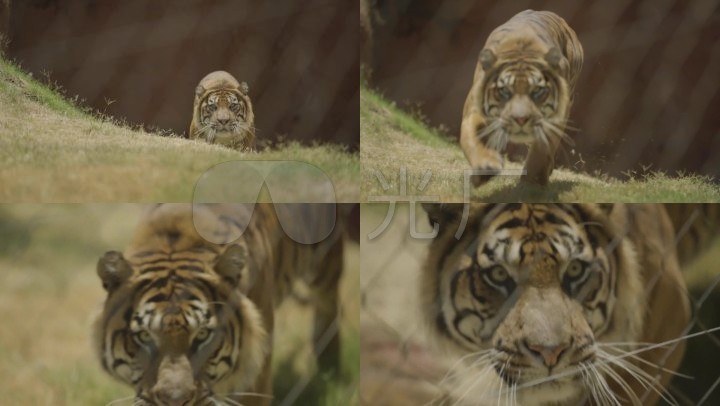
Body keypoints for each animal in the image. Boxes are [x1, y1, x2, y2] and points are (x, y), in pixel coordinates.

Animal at [92, 205, 344, 406]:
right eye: (144, 336)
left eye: (203, 334)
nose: (175, 401)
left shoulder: (255, 375)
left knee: (329, 305)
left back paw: (329, 368)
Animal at [462, 9, 584, 186]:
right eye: (504, 91)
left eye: (537, 91)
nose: (520, 119)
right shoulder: (475, 110)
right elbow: (473, 137)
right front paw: (485, 167)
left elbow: (541, 149)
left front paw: (532, 183)